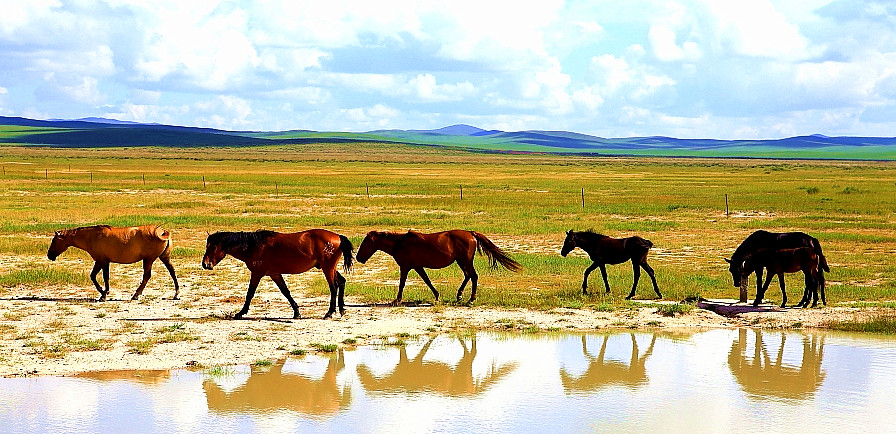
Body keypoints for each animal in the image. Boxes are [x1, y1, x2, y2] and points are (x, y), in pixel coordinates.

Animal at [47, 224, 180, 302]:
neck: (92, 236)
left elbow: (93, 276)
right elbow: (106, 277)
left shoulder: (100, 261)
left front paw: (102, 294)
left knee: (147, 276)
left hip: (148, 259)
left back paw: (136, 295)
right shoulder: (106, 262)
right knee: (172, 272)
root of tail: (162, 232)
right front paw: (105, 292)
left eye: (54, 241)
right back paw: (176, 294)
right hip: (164, 257)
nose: (49, 255)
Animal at [203, 229, 354, 320]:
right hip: (330, 268)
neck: (254, 246)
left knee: (333, 287)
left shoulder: (257, 274)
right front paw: (296, 313)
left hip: (327, 268)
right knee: (341, 282)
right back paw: (341, 310)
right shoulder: (275, 274)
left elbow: (250, 293)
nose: (205, 264)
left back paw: (329, 313)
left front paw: (241, 313)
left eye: (212, 247)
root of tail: (338, 237)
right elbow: (285, 292)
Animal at [356, 231, 520, 306]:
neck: (400, 243)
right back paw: (459, 295)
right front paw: (437, 296)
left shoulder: (406, 266)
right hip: (461, 261)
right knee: (468, 276)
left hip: (464, 260)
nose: (358, 258)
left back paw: (471, 299)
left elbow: (402, 284)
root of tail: (470, 233)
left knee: (473, 276)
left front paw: (397, 300)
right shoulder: (417, 266)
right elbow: (427, 281)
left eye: (366, 242)